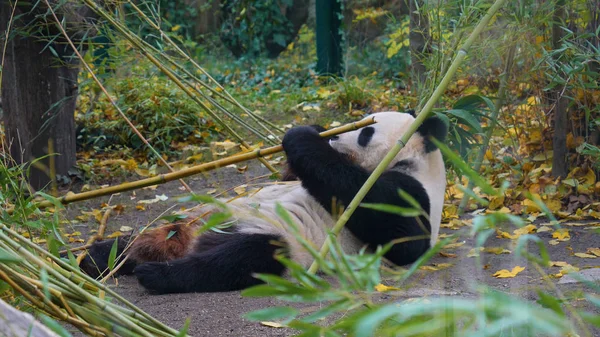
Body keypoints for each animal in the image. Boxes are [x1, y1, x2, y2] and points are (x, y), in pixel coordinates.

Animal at [82, 111, 446, 292]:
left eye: (366, 131)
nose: (336, 136)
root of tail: (189, 243)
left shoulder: (411, 191)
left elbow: (400, 234)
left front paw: (302, 137)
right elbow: (290, 178)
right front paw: (313, 129)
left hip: (278, 241)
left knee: (238, 259)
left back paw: (157, 274)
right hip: (194, 218)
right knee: (134, 239)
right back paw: (94, 258)